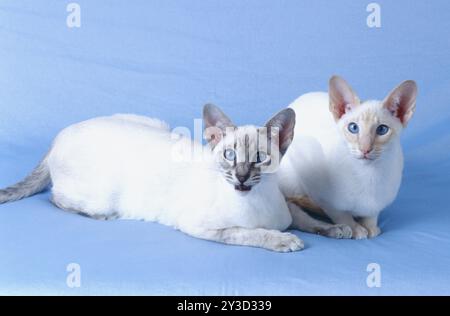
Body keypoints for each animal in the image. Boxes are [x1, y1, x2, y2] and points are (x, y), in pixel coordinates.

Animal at [0, 105, 306, 253]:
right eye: (229, 155)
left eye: (259, 158)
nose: (241, 177)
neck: (258, 199)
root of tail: (56, 139)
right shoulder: (203, 227)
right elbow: (248, 232)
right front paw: (284, 240)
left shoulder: (286, 207)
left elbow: (299, 214)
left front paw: (319, 228)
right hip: (101, 198)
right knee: (56, 198)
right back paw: (103, 216)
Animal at [278, 76, 418, 239]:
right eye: (353, 128)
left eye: (382, 130)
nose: (365, 149)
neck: (369, 175)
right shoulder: (321, 194)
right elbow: (340, 214)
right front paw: (356, 229)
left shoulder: (377, 203)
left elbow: (372, 214)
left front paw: (371, 227)